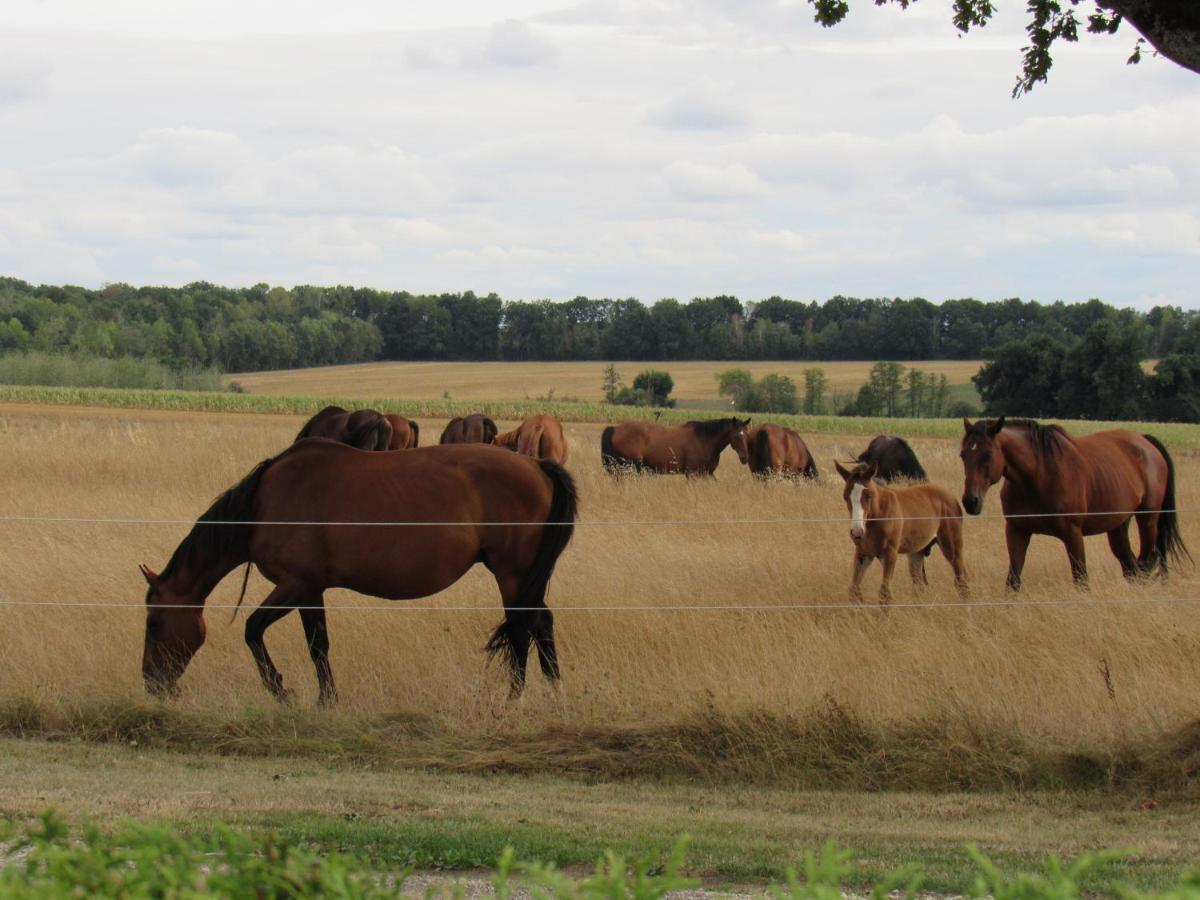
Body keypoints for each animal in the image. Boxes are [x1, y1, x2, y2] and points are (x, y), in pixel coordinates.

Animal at [138, 441, 578, 710]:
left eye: (155, 623)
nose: (152, 684)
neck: (264, 504)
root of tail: (537, 465)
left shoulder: (294, 584)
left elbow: (253, 630)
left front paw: (281, 690)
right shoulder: (310, 589)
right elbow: (318, 645)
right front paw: (326, 700)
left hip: (512, 574)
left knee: (523, 629)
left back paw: (515, 698)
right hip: (523, 577)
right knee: (541, 624)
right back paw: (554, 691)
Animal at [600, 420, 748, 480]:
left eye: (747, 434)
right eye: (736, 436)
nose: (745, 458)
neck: (704, 439)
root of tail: (615, 428)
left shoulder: (707, 473)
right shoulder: (693, 474)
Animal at [840, 458, 969, 607]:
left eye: (868, 495)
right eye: (845, 496)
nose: (857, 531)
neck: (877, 516)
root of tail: (952, 498)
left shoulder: (890, 553)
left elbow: (885, 594)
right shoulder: (863, 553)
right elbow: (854, 591)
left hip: (952, 548)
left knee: (961, 581)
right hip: (916, 553)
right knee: (919, 586)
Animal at [960, 417, 1185, 592]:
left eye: (988, 455)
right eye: (963, 455)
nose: (970, 501)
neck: (1038, 475)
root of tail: (1145, 442)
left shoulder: (1073, 534)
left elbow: (1081, 580)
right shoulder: (1017, 531)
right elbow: (1012, 582)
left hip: (1148, 519)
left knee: (1145, 563)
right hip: (1118, 526)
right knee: (1132, 568)